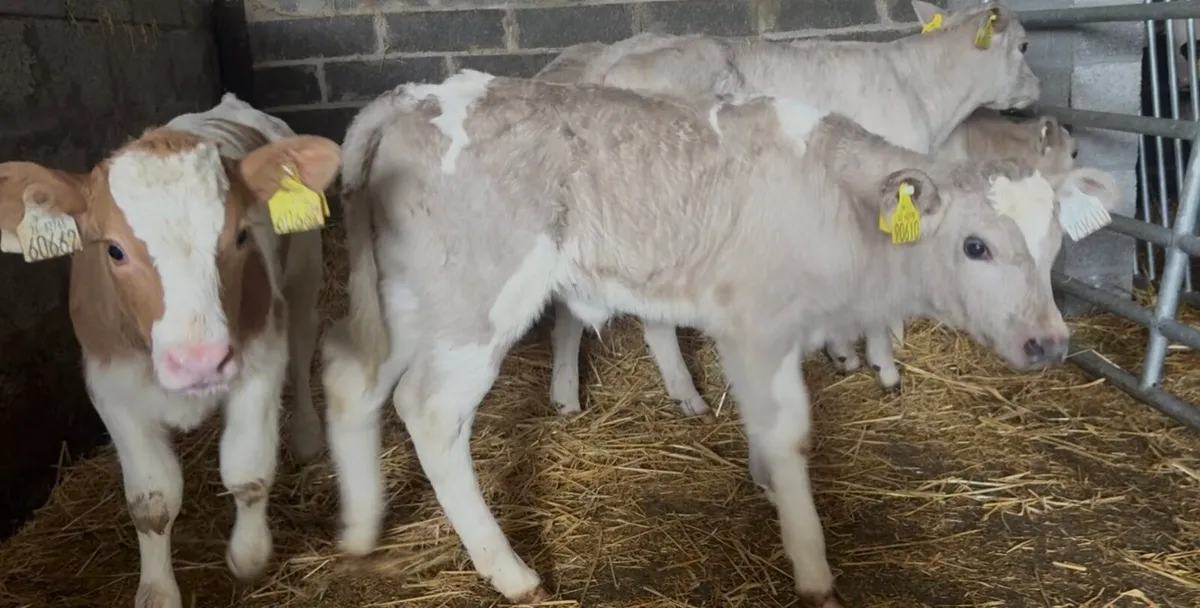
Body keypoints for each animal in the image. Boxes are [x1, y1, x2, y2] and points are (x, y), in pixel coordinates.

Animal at [0, 93, 341, 608]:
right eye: (114, 250)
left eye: (241, 235)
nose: (200, 362)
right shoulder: (111, 386)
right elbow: (153, 501)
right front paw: (156, 591)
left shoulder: (260, 359)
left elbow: (247, 471)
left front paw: (248, 556)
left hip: (303, 268)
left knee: (302, 347)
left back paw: (305, 435)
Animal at [318, 70, 1121, 606]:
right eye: (976, 246)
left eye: (1054, 246)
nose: (1049, 344)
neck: (839, 208)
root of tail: (417, 93)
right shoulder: (758, 323)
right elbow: (790, 431)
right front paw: (812, 566)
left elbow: (764, 426)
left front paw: (765, 484)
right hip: (473, 302)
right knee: (428, 410)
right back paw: (511, 572)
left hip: (405, 293)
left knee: (350, 377)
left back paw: (360, 535)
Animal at [537, 0, 1049, 416]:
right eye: (1025, 45)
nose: (1037, 90)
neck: (921, 88)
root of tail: (603, 63)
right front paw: (884, 362)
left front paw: (844, 351)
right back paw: (687, 394)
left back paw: (566, 395)